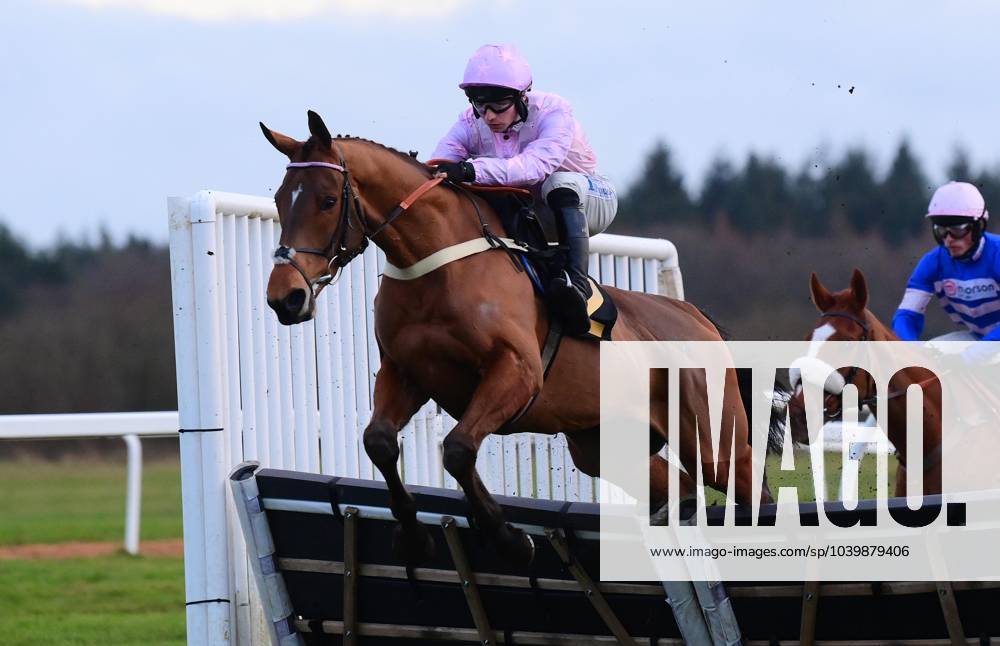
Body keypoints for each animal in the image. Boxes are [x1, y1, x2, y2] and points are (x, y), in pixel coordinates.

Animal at [262, 112, 768, 568]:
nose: (285, 298)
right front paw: (413, 537)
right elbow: (379, 442)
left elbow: (458, 450)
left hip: (715, 440)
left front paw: (509, 540)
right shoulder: (406, 373)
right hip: (602, 444)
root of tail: (696, 317)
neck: (435, 266)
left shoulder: (517, 373)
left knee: (751, 489)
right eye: (281, 199)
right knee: (679, 487)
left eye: (328, 201)